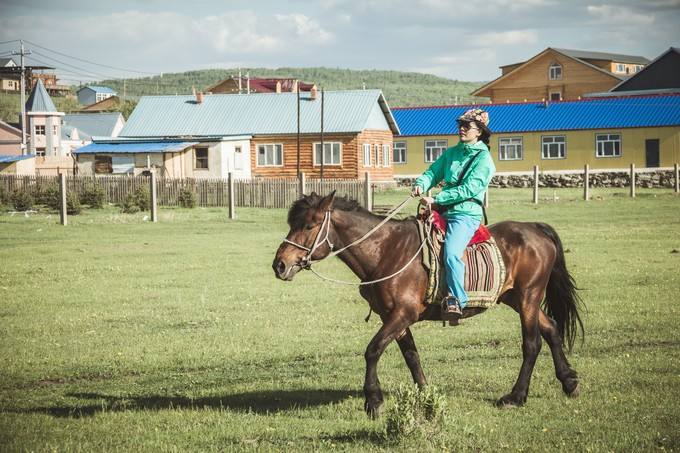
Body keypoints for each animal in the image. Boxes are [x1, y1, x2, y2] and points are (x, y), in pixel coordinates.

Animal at [274, 191, 580, 416]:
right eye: (292, 225)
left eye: (309, 225)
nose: (280, 265)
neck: (385, 251)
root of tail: (535, 228)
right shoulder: (392, 317)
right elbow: (411, 355)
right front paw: (426, 395)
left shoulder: (403, 314)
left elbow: (372, 350)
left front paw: (373, 400)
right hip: (517, 298)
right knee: (551, 329)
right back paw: (569, 381)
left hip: (529, 296)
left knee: (532, 343)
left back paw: (516, 396)